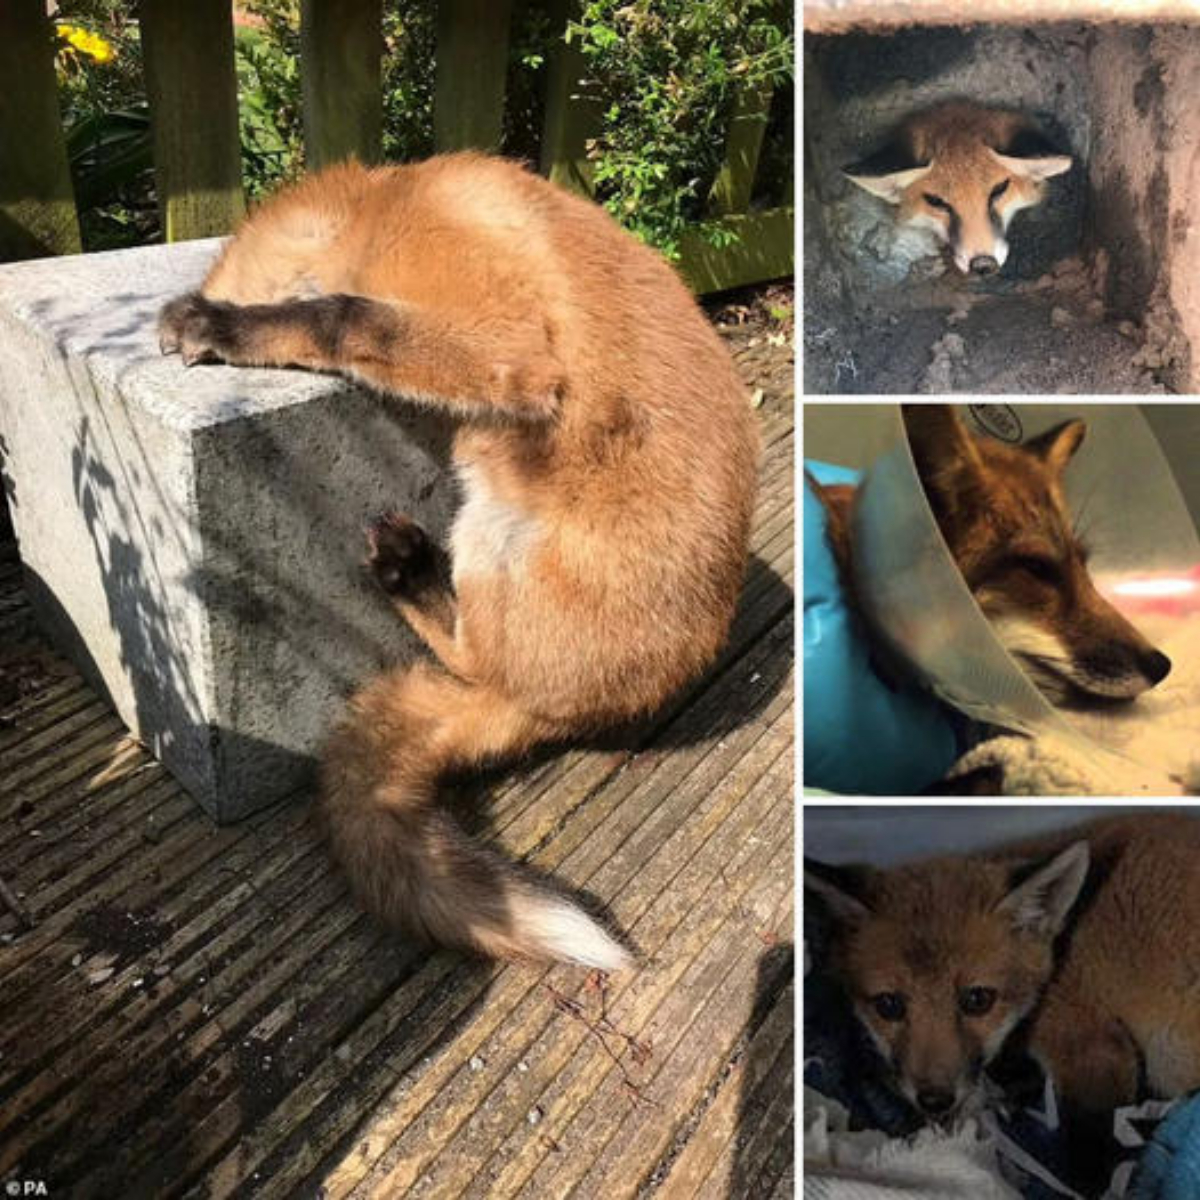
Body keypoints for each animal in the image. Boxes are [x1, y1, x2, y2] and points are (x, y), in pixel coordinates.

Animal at [158, 154, 753, 969]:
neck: (386, 205)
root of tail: (578, 714)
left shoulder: (506, 341)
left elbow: (339, 315)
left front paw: (220, 326)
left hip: (493, 519)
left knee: (472, 654)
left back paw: (409, 575)